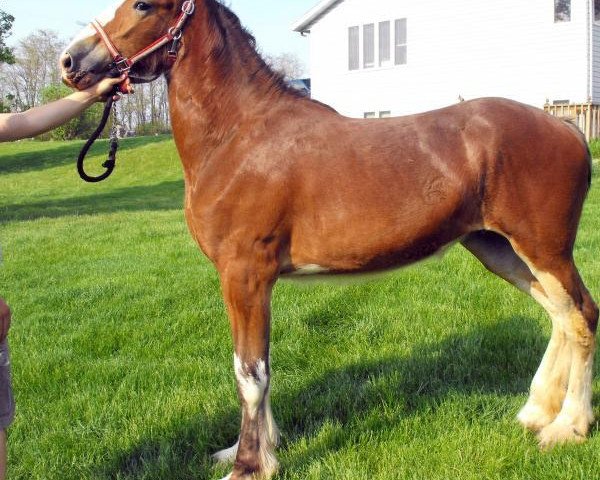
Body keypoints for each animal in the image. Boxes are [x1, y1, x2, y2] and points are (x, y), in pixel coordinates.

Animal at [59, 1, 596, 478]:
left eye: (143, 5)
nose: (71, 61)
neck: (239, 136)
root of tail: (566, 126)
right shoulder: (250, 282)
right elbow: (258, 367)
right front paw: (255, 449)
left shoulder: (245, 275)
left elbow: (250, 373)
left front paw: (249, 466)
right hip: (499, 249)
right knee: (559, 316)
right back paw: (535, 413)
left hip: (545, 250)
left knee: (581, 316)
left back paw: (568, 428)